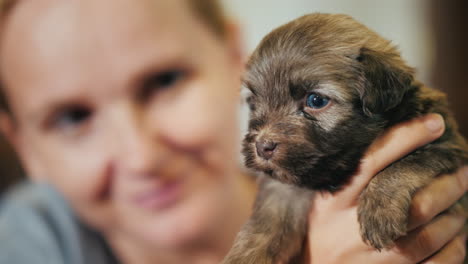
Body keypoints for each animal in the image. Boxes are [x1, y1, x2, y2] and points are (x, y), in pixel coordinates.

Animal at [223, 13, 468, 262]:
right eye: (253, 102)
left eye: (316, 100)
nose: (262, 146)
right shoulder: (285, 185)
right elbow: (269, 216)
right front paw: (247, 254)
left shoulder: (446, 143)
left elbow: (404, 164)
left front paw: (379, 207)